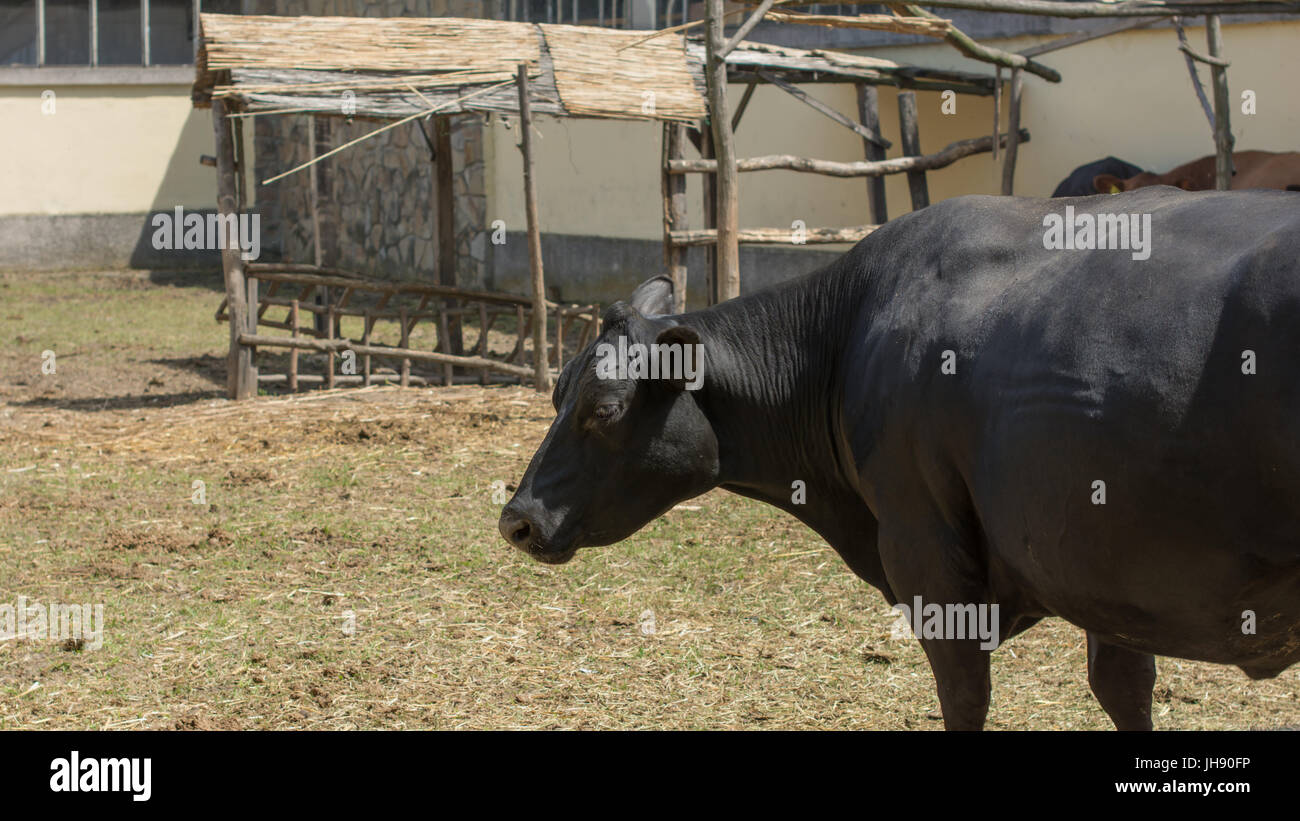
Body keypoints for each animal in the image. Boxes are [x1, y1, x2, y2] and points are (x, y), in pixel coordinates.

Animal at [499, 187, 1300, 730]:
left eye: (604, 410)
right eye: (556, 392)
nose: (518, 519)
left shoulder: (926, 551)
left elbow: (966, 695)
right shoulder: (1099, 573)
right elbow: (1125, 688)